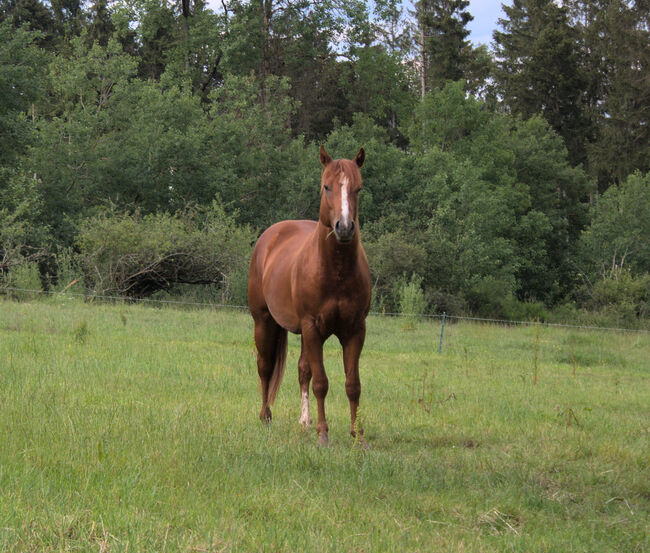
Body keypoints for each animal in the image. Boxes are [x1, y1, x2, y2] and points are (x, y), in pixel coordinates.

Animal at [247, 146, 370, 444]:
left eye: (358, 188)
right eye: (326, 186)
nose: (344, 227)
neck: (336, 271)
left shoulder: (355, 330)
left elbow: (352, 384)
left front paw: (357, 435)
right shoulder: (313, 327)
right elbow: (321, 383)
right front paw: (323, 434)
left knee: (303, 370)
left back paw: (304, 421)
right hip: (264, 322)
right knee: (265, 367)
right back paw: (265, 417)